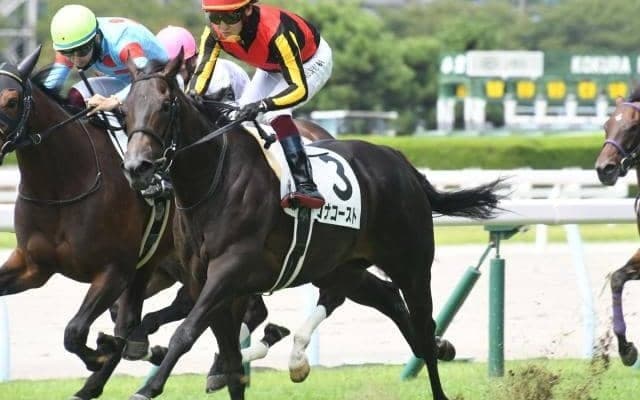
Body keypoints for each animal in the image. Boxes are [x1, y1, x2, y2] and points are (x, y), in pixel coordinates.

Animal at [121, 53, 501, 400]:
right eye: (124, 110)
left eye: (166, 106)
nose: (137, 167)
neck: (216, 180)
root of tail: (400, 161)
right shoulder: (205, 281)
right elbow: (230, 363)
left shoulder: (229, 272)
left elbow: (186, 333)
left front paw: (147, 388)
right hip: (340, 266)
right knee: (388, 300)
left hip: (411, 265)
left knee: (422, 323)